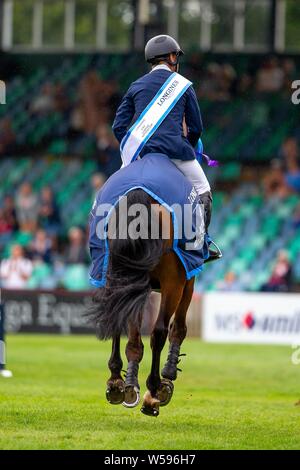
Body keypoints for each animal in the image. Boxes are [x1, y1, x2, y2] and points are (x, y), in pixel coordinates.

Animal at [89, 185, 197, 416]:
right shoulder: (187, 274)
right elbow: (177, 327)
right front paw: (168, 374)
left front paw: (126, 382)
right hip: (173, 279)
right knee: (159, 331)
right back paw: (154, 390)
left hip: (121, 275)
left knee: (120, 321)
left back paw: (119, 383)